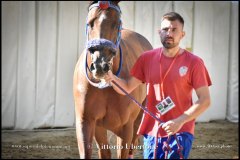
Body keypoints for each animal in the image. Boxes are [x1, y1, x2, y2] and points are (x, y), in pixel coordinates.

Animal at [72, 1, 153, 159]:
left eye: (116, 23)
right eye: (90, 23)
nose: (100, 65)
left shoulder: (125, 127)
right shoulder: (86, 122)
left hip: (138, 120)